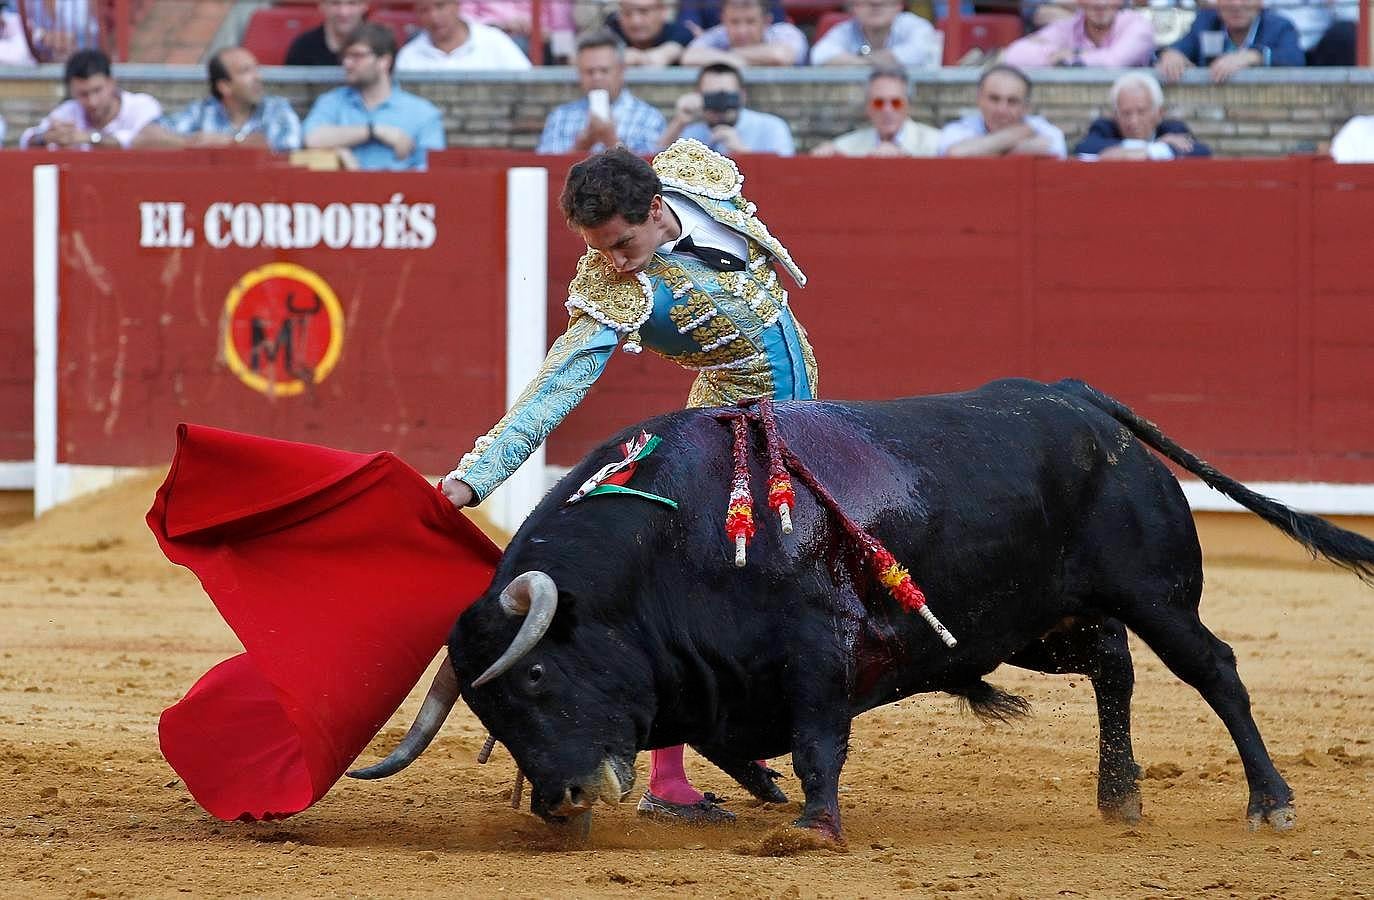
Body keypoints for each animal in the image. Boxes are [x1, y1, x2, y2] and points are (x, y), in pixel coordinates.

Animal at [357, 379, 1374, 846]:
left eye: (534, 675)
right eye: (490, 713)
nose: (560, 802)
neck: (670, 543)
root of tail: (1077, 401)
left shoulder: (816, 654)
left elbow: (818, 742)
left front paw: (812, 826)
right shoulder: (714, 677)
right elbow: (727, 739)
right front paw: (759, 792)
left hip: (1157, 594)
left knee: (1214, 670)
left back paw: (1271, 802)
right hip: (1031, 627)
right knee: (1113, 669)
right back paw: (1118, 794)